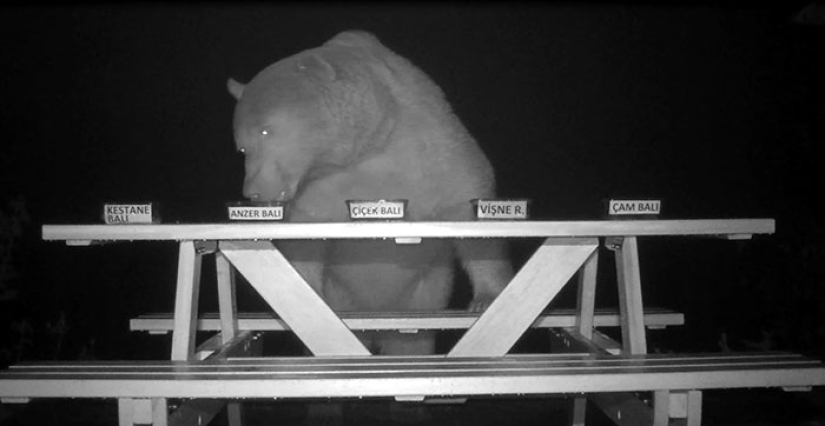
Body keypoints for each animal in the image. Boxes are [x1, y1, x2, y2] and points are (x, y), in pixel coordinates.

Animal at [225, 30, 508, 356]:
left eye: (266, 131)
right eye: (241, 147)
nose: (253, 191)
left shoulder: (432, 145)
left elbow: (469, 202)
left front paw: (487, 298)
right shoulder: (317, 193)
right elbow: (304, 246)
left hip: (423, 294)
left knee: (411, 342)